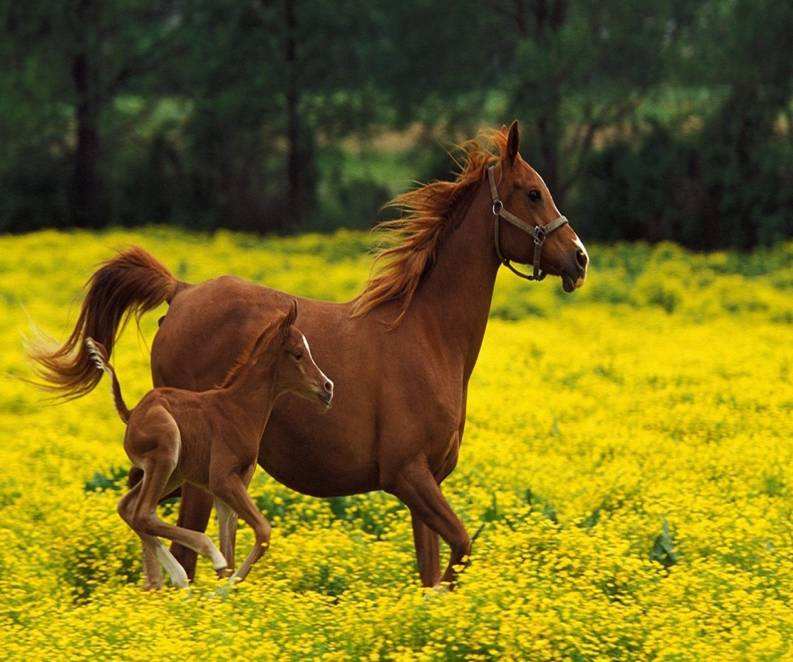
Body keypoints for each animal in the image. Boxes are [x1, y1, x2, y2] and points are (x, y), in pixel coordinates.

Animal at [85, 304, 332, 588]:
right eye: (298, 354)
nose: (328, 388)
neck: (238, 408)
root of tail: (132, 413)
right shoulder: (222, 480)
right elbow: (262, 531)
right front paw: (223, 587)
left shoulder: (234, 485)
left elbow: (232, 544)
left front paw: (225, 589)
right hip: (167, 451)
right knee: (143, 513)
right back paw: (194, 564)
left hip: (173, 473)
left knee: (128, 508)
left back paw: (173, 578)